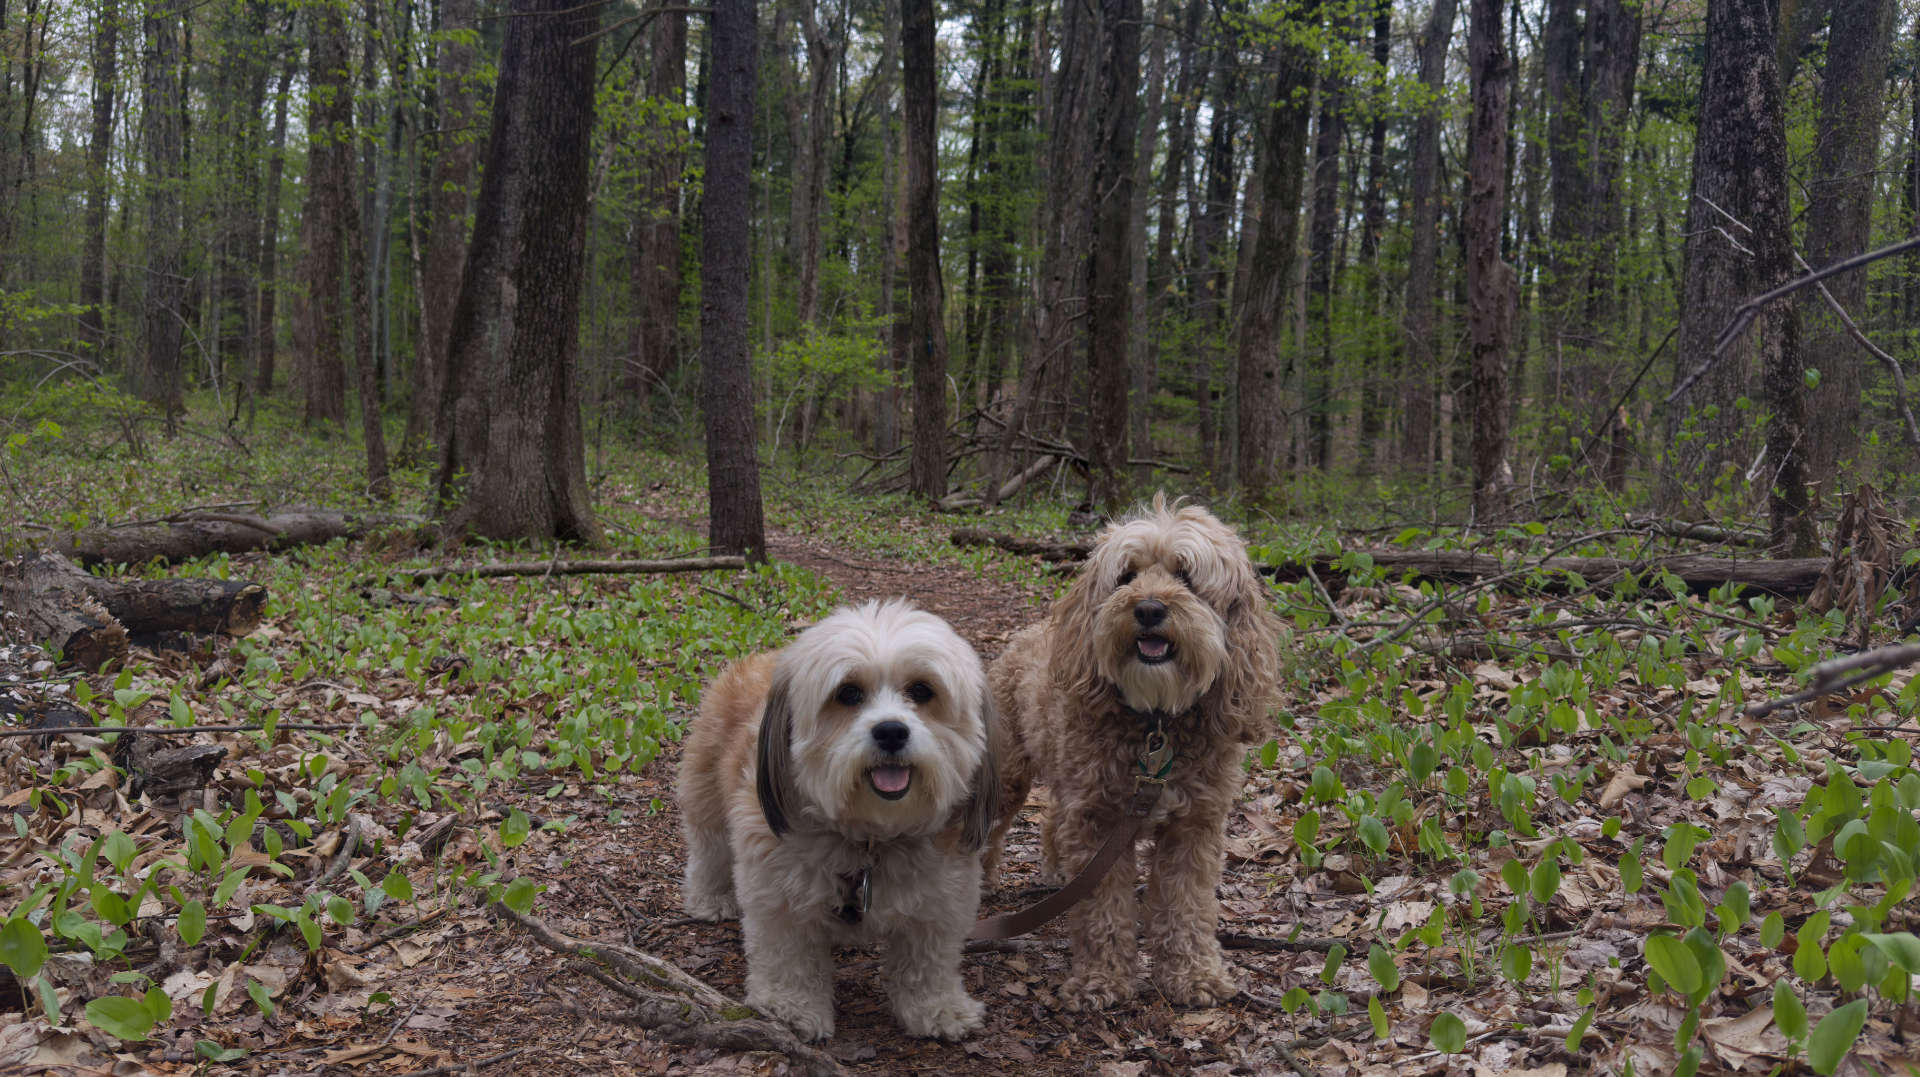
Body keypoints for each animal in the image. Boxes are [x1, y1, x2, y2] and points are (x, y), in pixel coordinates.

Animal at [675, 598, 998, 1036]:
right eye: (848, 693)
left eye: (921, 690)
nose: (891, 731)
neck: (868, 840)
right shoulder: (777, 891)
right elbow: (789, 955)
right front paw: (791, 1007)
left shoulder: (942, 898)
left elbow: (926, 961)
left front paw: (937, 1008)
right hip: (705, 790)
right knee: (708, 849)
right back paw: (710, 897)